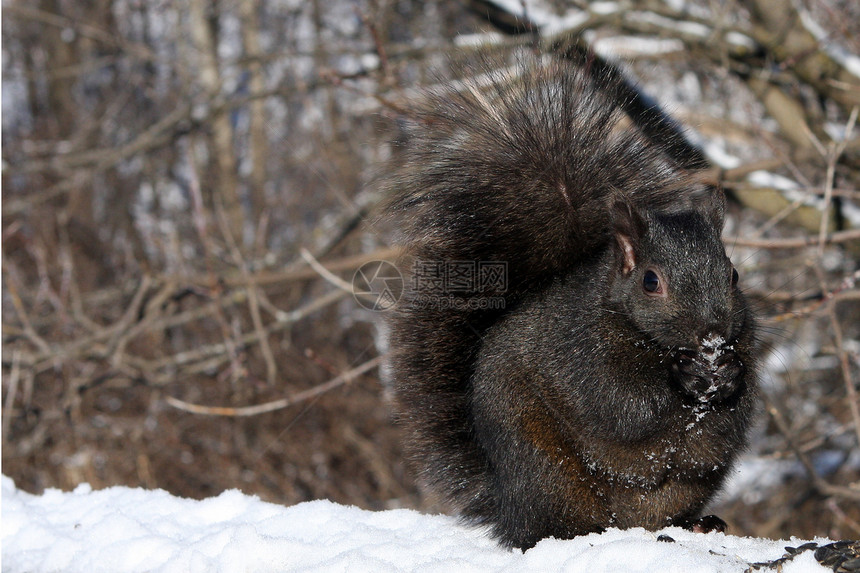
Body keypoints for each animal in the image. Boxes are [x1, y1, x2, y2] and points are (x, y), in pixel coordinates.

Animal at [386, 54, 756, 548]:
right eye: (651, 282)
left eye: (733, 275)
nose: (711, 334)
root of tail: (507, 503)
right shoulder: (579, 349)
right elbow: (618, 404)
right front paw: (679, 379)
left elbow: (734, 413)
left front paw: (729, 374)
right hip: (548, 471)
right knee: (556, 522)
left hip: (681, 489)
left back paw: (696, 523)